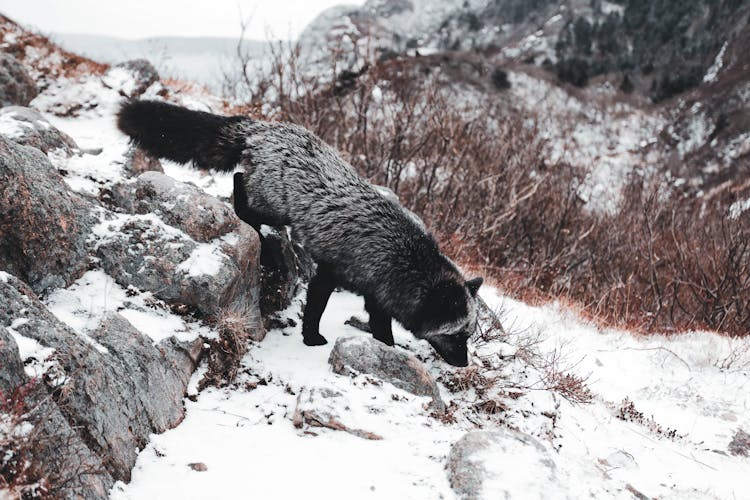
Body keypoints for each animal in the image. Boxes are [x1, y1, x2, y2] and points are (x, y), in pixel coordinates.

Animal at [117, 100, 482, 368]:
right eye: (456, 336)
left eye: (469, 334)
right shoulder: (330, 272)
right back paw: (253, 225)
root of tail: (265, 128)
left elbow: (382, 329)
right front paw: (311, 339)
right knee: (239, 184)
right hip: (273, 205)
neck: (399, 254)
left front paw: (385, 350)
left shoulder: (377, 296)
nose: (464, 364)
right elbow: (316, 308)